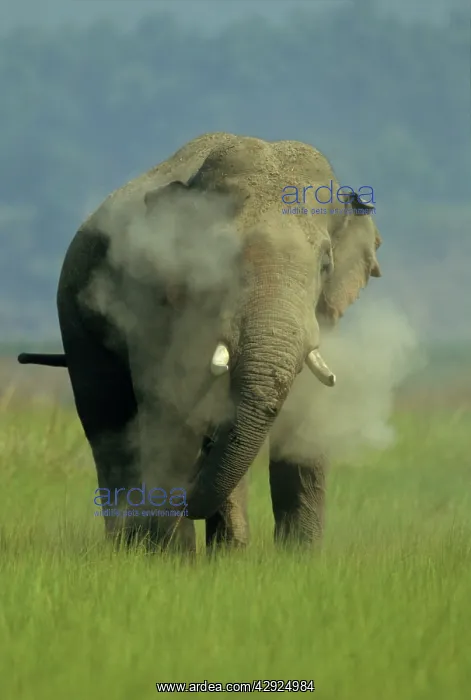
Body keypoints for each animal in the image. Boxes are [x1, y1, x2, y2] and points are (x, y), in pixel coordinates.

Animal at [18, 132, 382, 552]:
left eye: (326, 265)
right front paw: (173, 558)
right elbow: (171, 403)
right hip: (76, 314)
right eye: (218, 256)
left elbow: (306, 417)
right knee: (107, 420)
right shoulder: (152, 295)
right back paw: (127, 544)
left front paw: (299, 559)